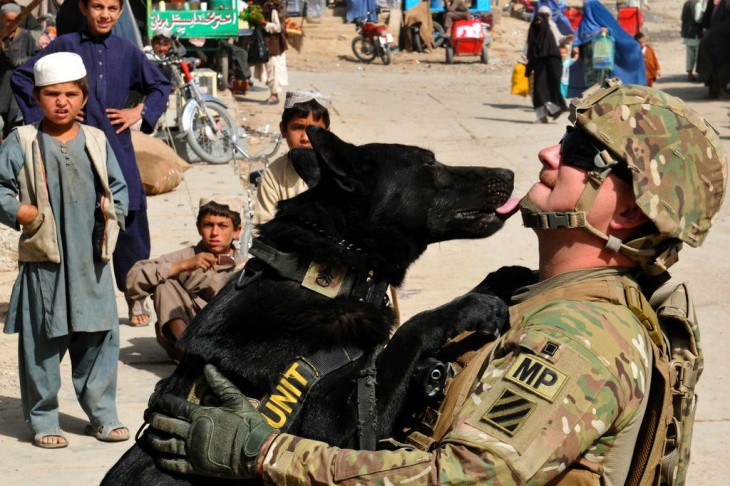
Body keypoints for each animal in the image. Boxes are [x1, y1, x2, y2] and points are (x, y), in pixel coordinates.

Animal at [102, 127, 516, 484]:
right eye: (428, 162)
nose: (509, 173)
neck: (327, 275)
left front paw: (509, 275)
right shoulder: (345, 433)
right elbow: (412, 329)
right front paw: (473, 305)